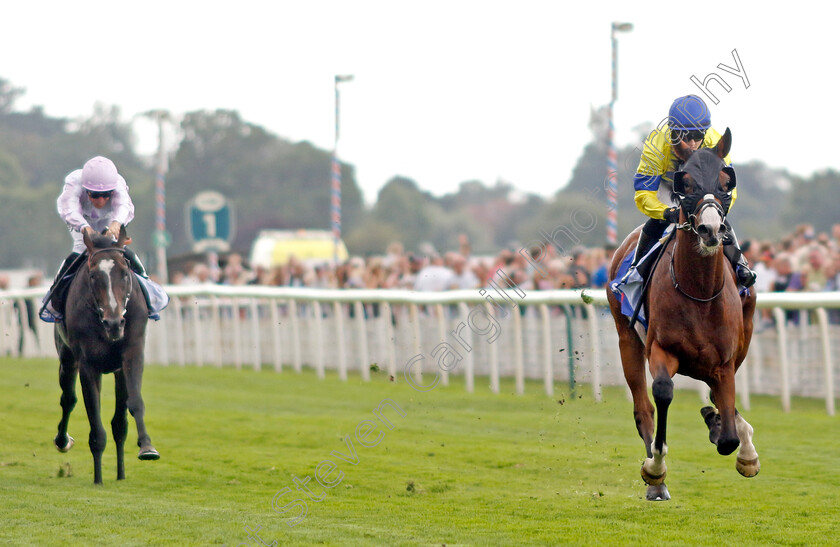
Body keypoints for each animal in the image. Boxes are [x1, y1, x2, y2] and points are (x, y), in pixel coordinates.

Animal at [52, 227, 159, 484]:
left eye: (125, 272)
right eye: (93, 276)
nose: (114, 322)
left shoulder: (131, 355)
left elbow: (133, 405)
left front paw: (146, 448)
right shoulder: (88, 365)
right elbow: (94, 419)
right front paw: (98, 479)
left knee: (118, 423)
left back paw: (121, 474)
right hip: (67, 358)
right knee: (68, 399)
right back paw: (62, 441)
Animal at [608, 128, 756, 500]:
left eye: (725, 181)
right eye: (685, 182)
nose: (711, 230)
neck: (700, 292)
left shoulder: (725, 361)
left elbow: (729, 433)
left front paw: (736, 443)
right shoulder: (660, 349)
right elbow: (662, 392)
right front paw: (655, 469)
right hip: (626, 338)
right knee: (643, 408)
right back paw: (656, 483)